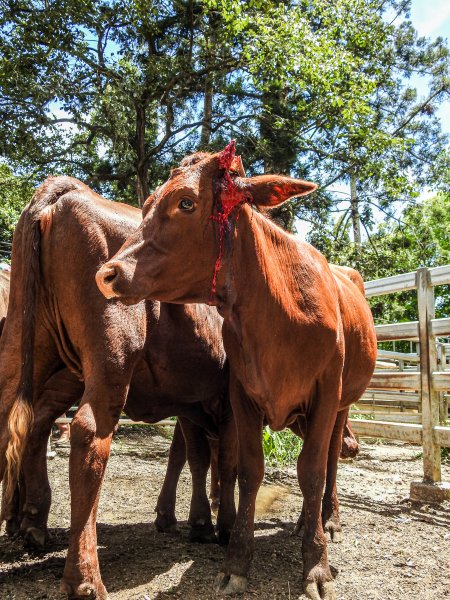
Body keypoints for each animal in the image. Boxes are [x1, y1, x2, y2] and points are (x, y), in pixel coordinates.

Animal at [0, 179, 236, 600]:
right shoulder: (226, 402)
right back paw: (84, 578)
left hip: (31, 348)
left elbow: (190, 455)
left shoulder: (191, 404)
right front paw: (221, 525)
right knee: (88, 434)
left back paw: (31, 526)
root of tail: (70, 192)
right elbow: (225, 460)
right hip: (109, 358)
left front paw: (191, 521)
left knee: (19, 423)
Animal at [97, 144, 376, 600]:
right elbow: (248, 470)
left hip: (342, 406)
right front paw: (237, 561)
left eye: (186, 202)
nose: (108, 273)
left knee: (332, 458)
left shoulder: (323, 396)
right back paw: (306, 520)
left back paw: (327, 519)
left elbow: (312, 471)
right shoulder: (242, 396)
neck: (277, 311)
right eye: (147, 203)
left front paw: (316, 565)